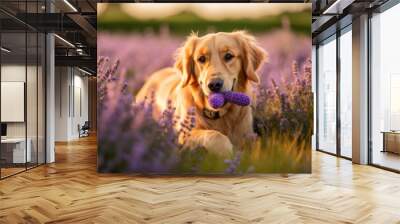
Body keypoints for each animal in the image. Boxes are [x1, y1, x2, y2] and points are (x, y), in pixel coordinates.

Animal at [136, 30, 268, 158]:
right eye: (201, 59)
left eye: (229, 56)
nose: (214, 84)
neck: (218, 115)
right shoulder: (184, 133)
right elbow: (215, 135)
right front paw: (226, 153)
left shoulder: (247, 133)